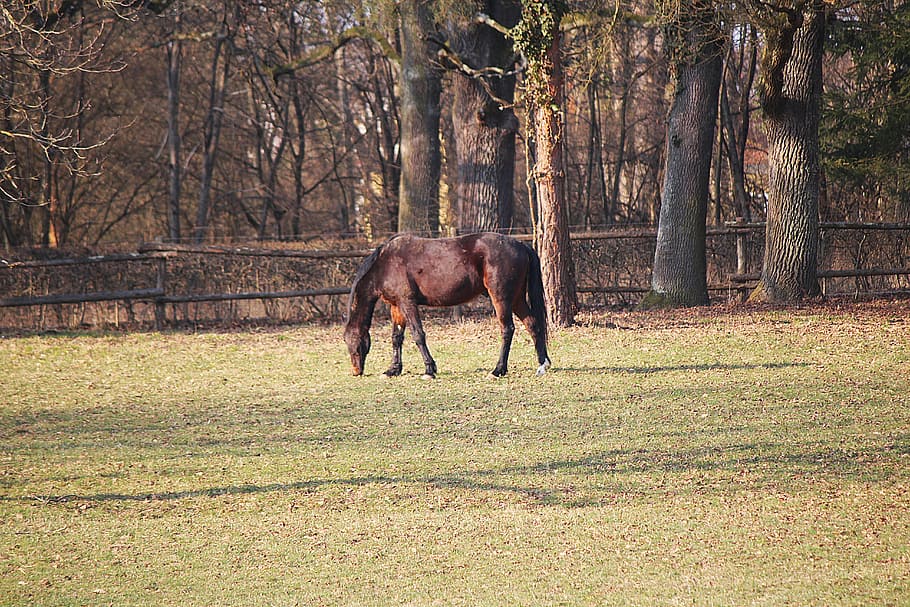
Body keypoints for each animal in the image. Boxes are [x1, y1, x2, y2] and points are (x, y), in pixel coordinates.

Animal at [344, 232, 551, 379]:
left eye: (352, 341)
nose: (356, 371)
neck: (385, 264)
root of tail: (521, 245)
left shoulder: (408, 302)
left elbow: (418, 335)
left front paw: (429, 370)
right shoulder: (396, 306)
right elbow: (396, 338)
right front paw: (393, 370)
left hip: (501, 298)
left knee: (507, 329)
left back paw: (498, 370)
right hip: (516, 299)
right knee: (532, 324)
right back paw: (542, 365)